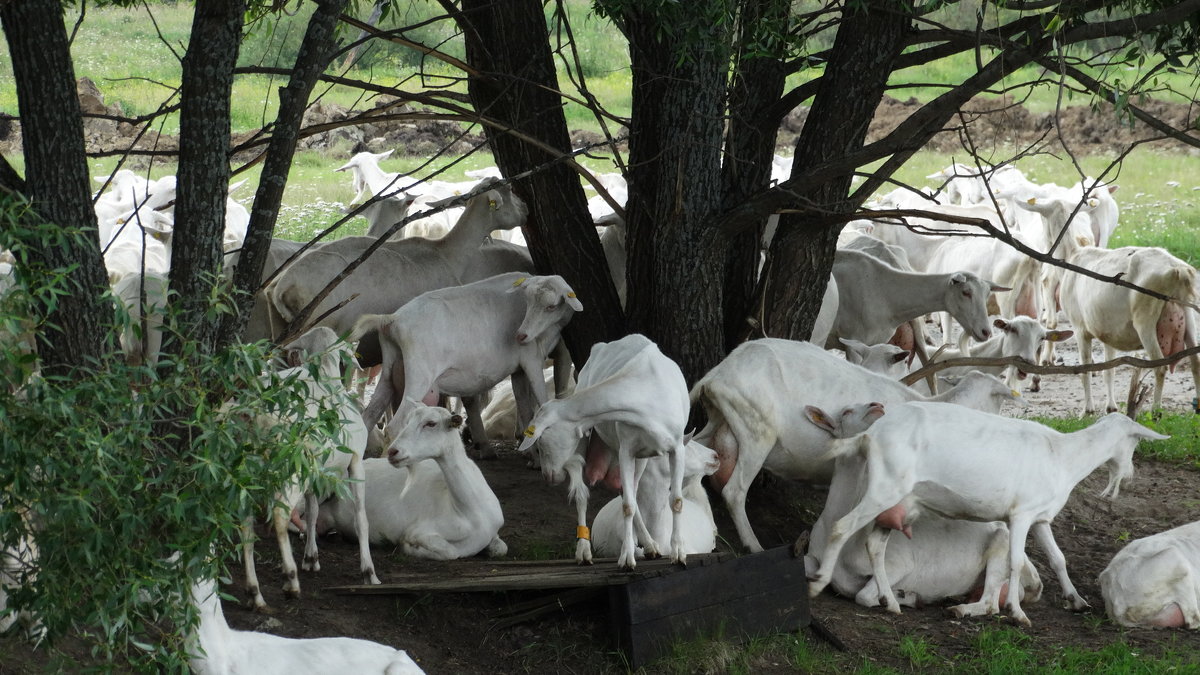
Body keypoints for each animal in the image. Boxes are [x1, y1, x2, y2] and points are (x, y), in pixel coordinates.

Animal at [518, 331, 696, 566]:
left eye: (541, 440)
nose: (548, 476)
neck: (647, 395)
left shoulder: (675, 448)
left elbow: (675, 501)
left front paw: (679, 553)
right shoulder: (626, 450)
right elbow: (627, 505)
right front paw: (626, 558)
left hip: (642, 457)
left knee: (630, 491)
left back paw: (650, 546)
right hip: (587, 437)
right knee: (583, 494)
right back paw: (584, 552)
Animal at [696, 336, 1022, 552]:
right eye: (998, 399)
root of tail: (715, 377)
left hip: (716, 423)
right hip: (757, 429)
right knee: (734, 491)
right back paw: (754, 545)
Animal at [811, 398, 1166, 624]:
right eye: (1135, 441)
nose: (1130, 475)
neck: (1063, 455)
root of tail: (870, 435)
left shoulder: (1039, 517)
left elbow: (1058, 558)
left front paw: (1077, 601)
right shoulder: (1020, 515)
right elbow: (1015, 561)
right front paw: (1018, 614)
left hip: (897, 501)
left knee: (875, 545)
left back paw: (891, 602)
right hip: (883, 488)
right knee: (842, 527)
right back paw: (818, 583)